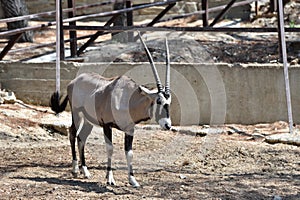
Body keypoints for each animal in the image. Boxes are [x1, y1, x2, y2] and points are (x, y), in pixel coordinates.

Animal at [50, 32, 172, 188]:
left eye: (169, 102)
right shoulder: (107, 125)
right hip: (76, 114)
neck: (127, 98)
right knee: (72, 133)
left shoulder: (130, 129)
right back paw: (75, 169)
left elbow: (129, 152)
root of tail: (74, 82)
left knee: (81, 137)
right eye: (158, 101)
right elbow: (110, 149)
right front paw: (110, 178)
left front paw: (133, 180)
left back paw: (85, 171)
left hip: (89, 121)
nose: (167, 125)